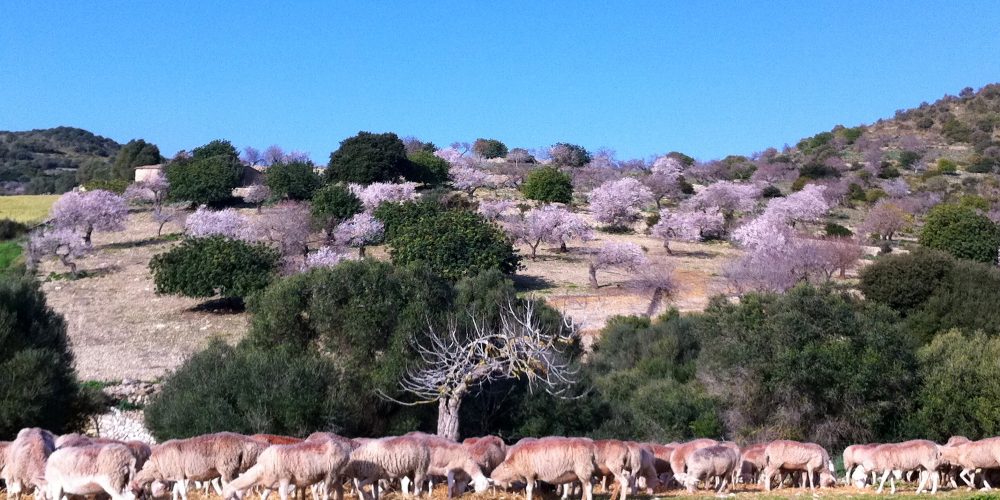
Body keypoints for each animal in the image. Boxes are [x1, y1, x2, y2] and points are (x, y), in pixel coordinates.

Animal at [135, 430, 272, 500]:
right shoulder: (177, 475)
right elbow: (176, 491)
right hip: (234, 469)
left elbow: (183, 492)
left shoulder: (179, 475)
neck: (155, 466)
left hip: (227, 467)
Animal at [222, 436, 352, 500]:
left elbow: (283, 496)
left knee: (326, 494)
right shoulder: (270, 484)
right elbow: (264, 497)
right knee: (340, 490)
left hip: (330, 473)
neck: (261, 470)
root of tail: (344, 449)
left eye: (228, 497)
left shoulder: (285, 479)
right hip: (335, 475)